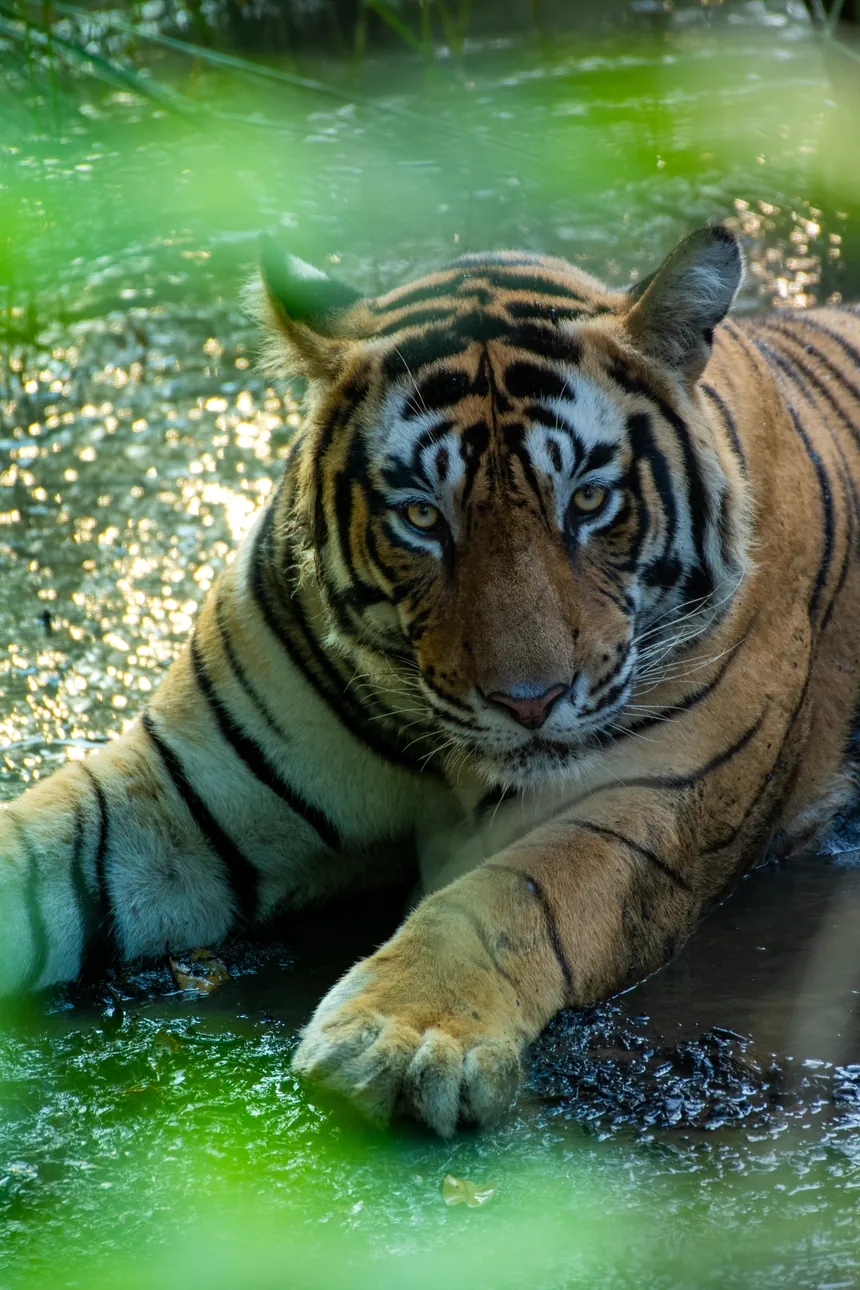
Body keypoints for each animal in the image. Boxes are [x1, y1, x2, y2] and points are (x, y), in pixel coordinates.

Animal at [1, 222, 859, 1137]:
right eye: (421, 516)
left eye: (589, 502)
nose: (529, 701)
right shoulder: (178, 790)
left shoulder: (657, 799)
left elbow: (516, 893)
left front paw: (400, 1040)